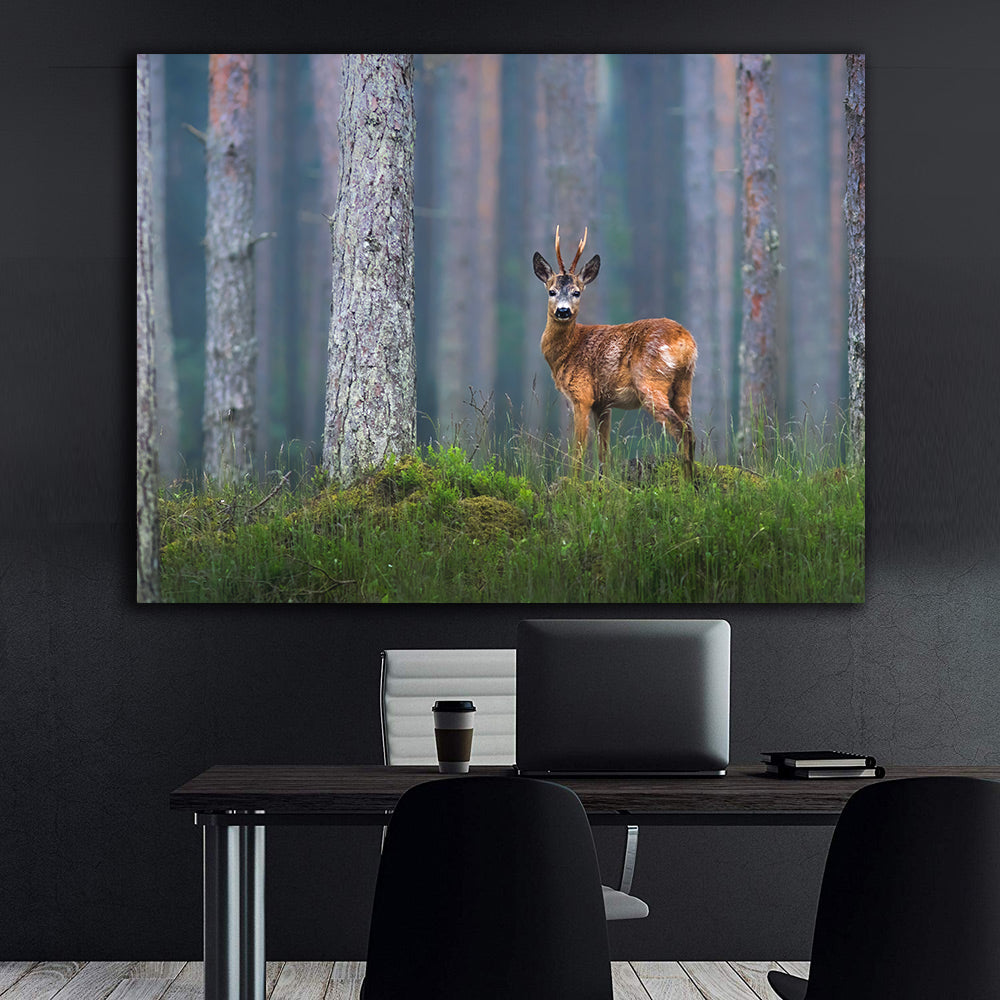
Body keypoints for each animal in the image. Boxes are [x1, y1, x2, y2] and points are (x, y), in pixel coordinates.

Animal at [532, 226, 698, 479]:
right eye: (551, 291)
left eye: (577, 292)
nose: (563, 311)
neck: (568, 350)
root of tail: (684, 340)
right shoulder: (603, 403)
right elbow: (604, 451)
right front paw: (603, 481)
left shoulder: (582, 395)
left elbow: (579, 449)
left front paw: (573, 483)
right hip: (684, 385)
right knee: (692, 431)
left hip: (650, 381)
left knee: (681, 430)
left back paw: (685, 481)